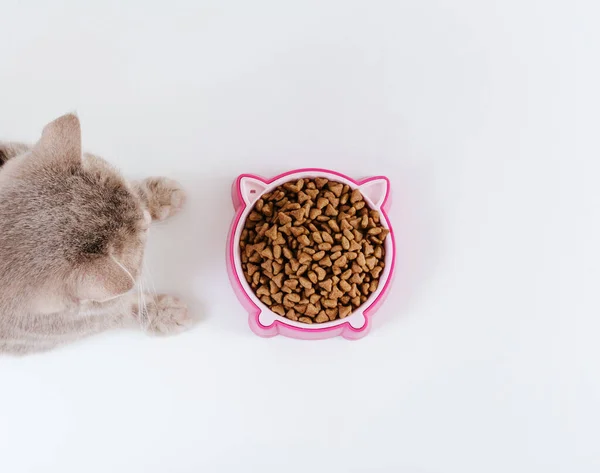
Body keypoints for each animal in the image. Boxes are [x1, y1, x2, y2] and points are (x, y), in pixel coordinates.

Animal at [0, 112, 193, 352]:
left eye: (145, 225)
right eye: (144, 233)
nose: (147, 219)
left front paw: (156, 195)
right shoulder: (60, 329)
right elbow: (116, 312)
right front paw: (162, 312)